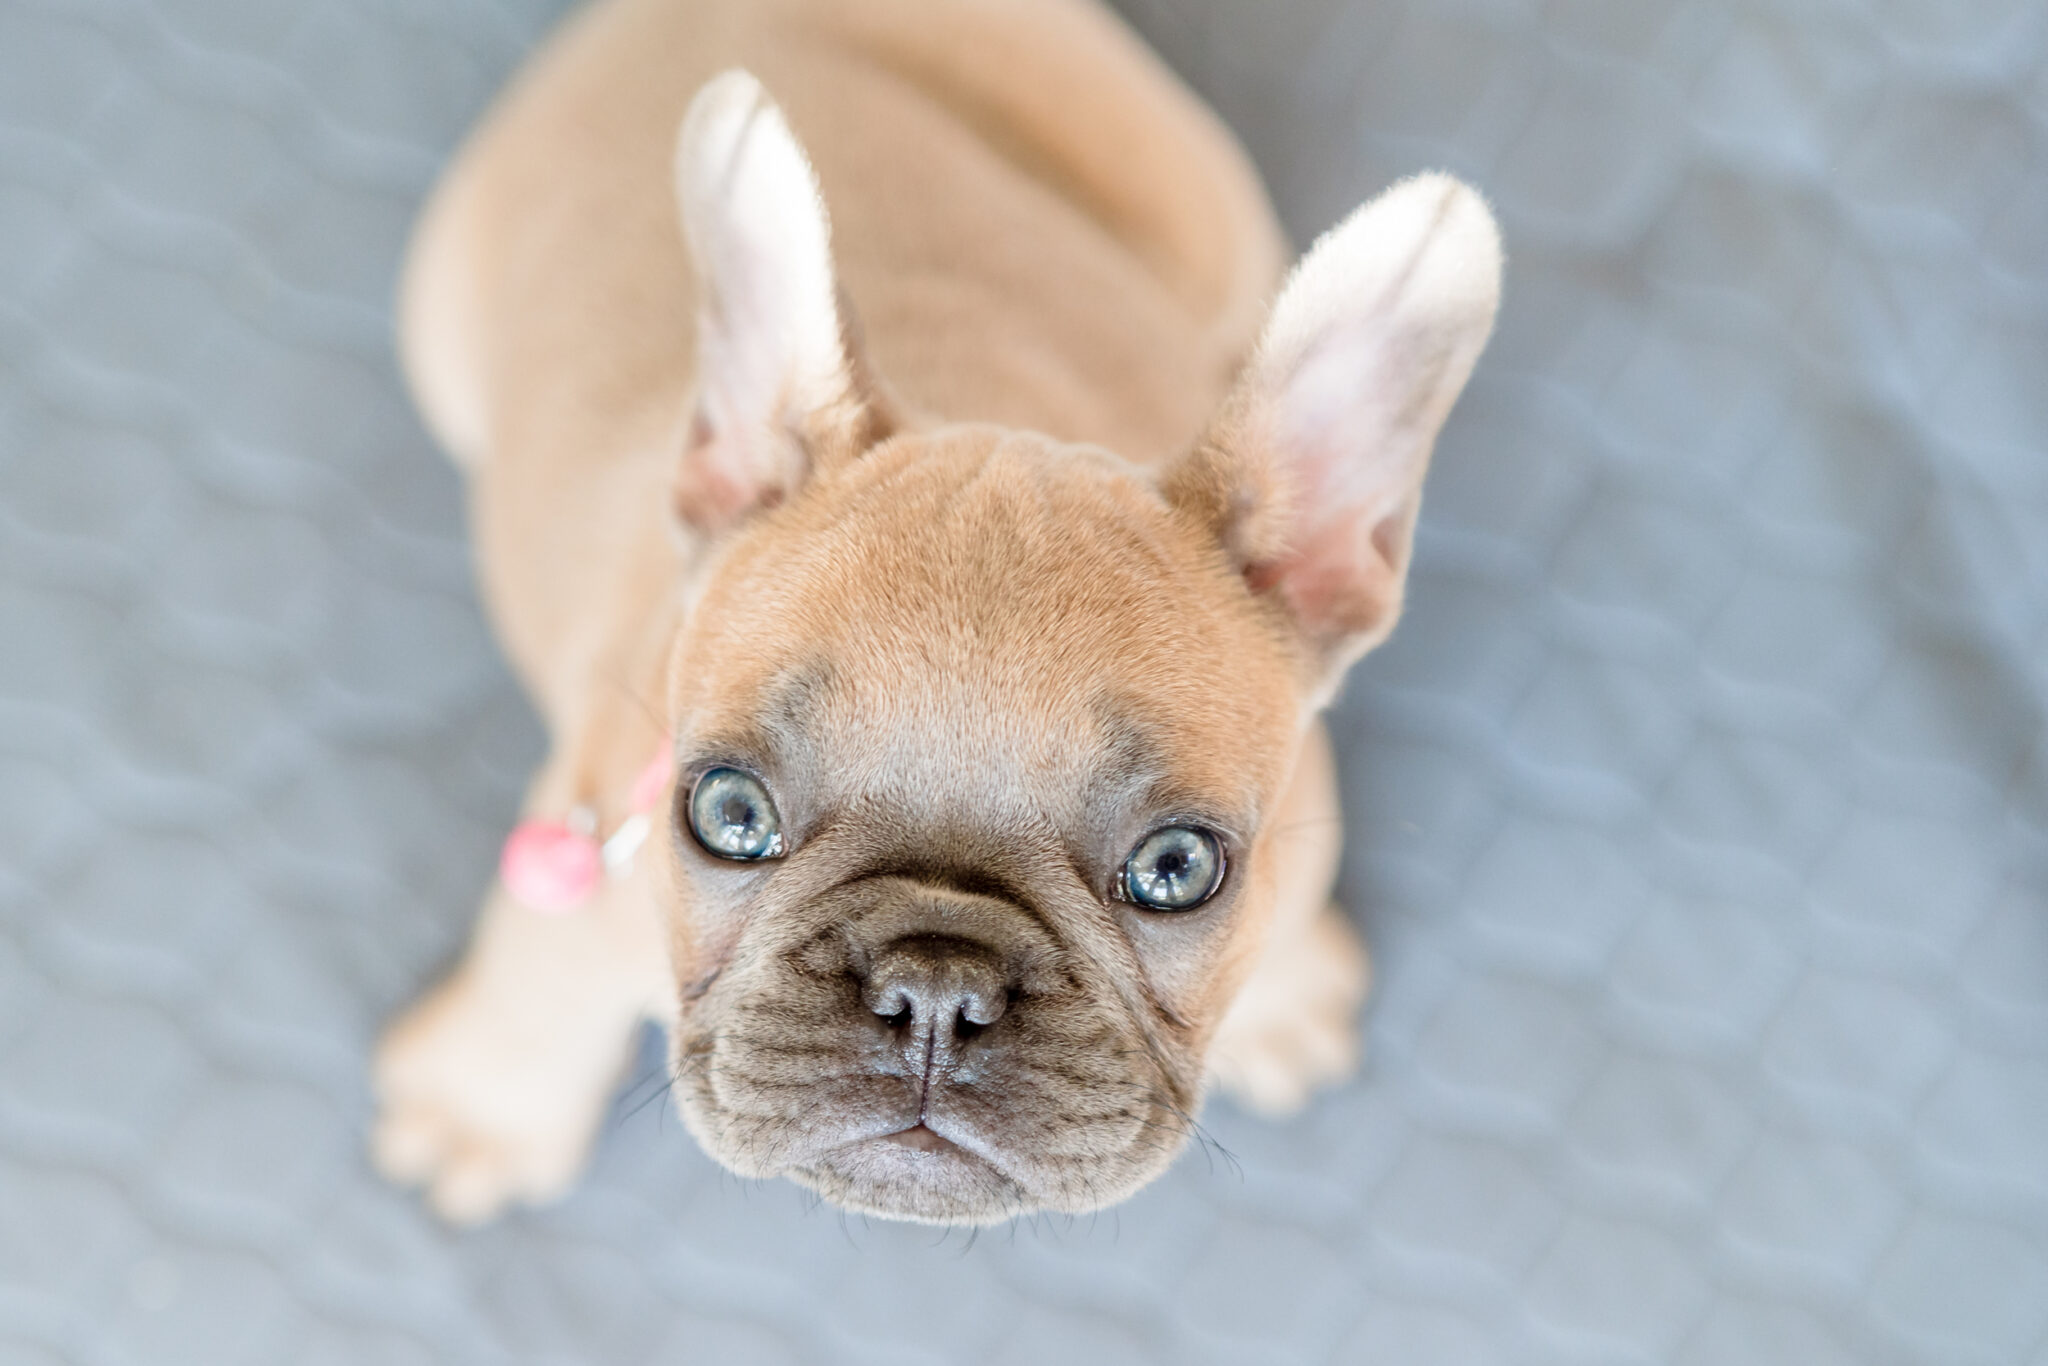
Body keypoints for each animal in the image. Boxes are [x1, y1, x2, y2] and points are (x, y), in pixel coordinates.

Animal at [372, 0, 1490, 1228]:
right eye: (725, 812)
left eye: (1178, 871)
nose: (936, 990)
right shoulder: (575, 892)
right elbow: (533, 986)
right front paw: (484, 1113)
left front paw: (1283, 999)